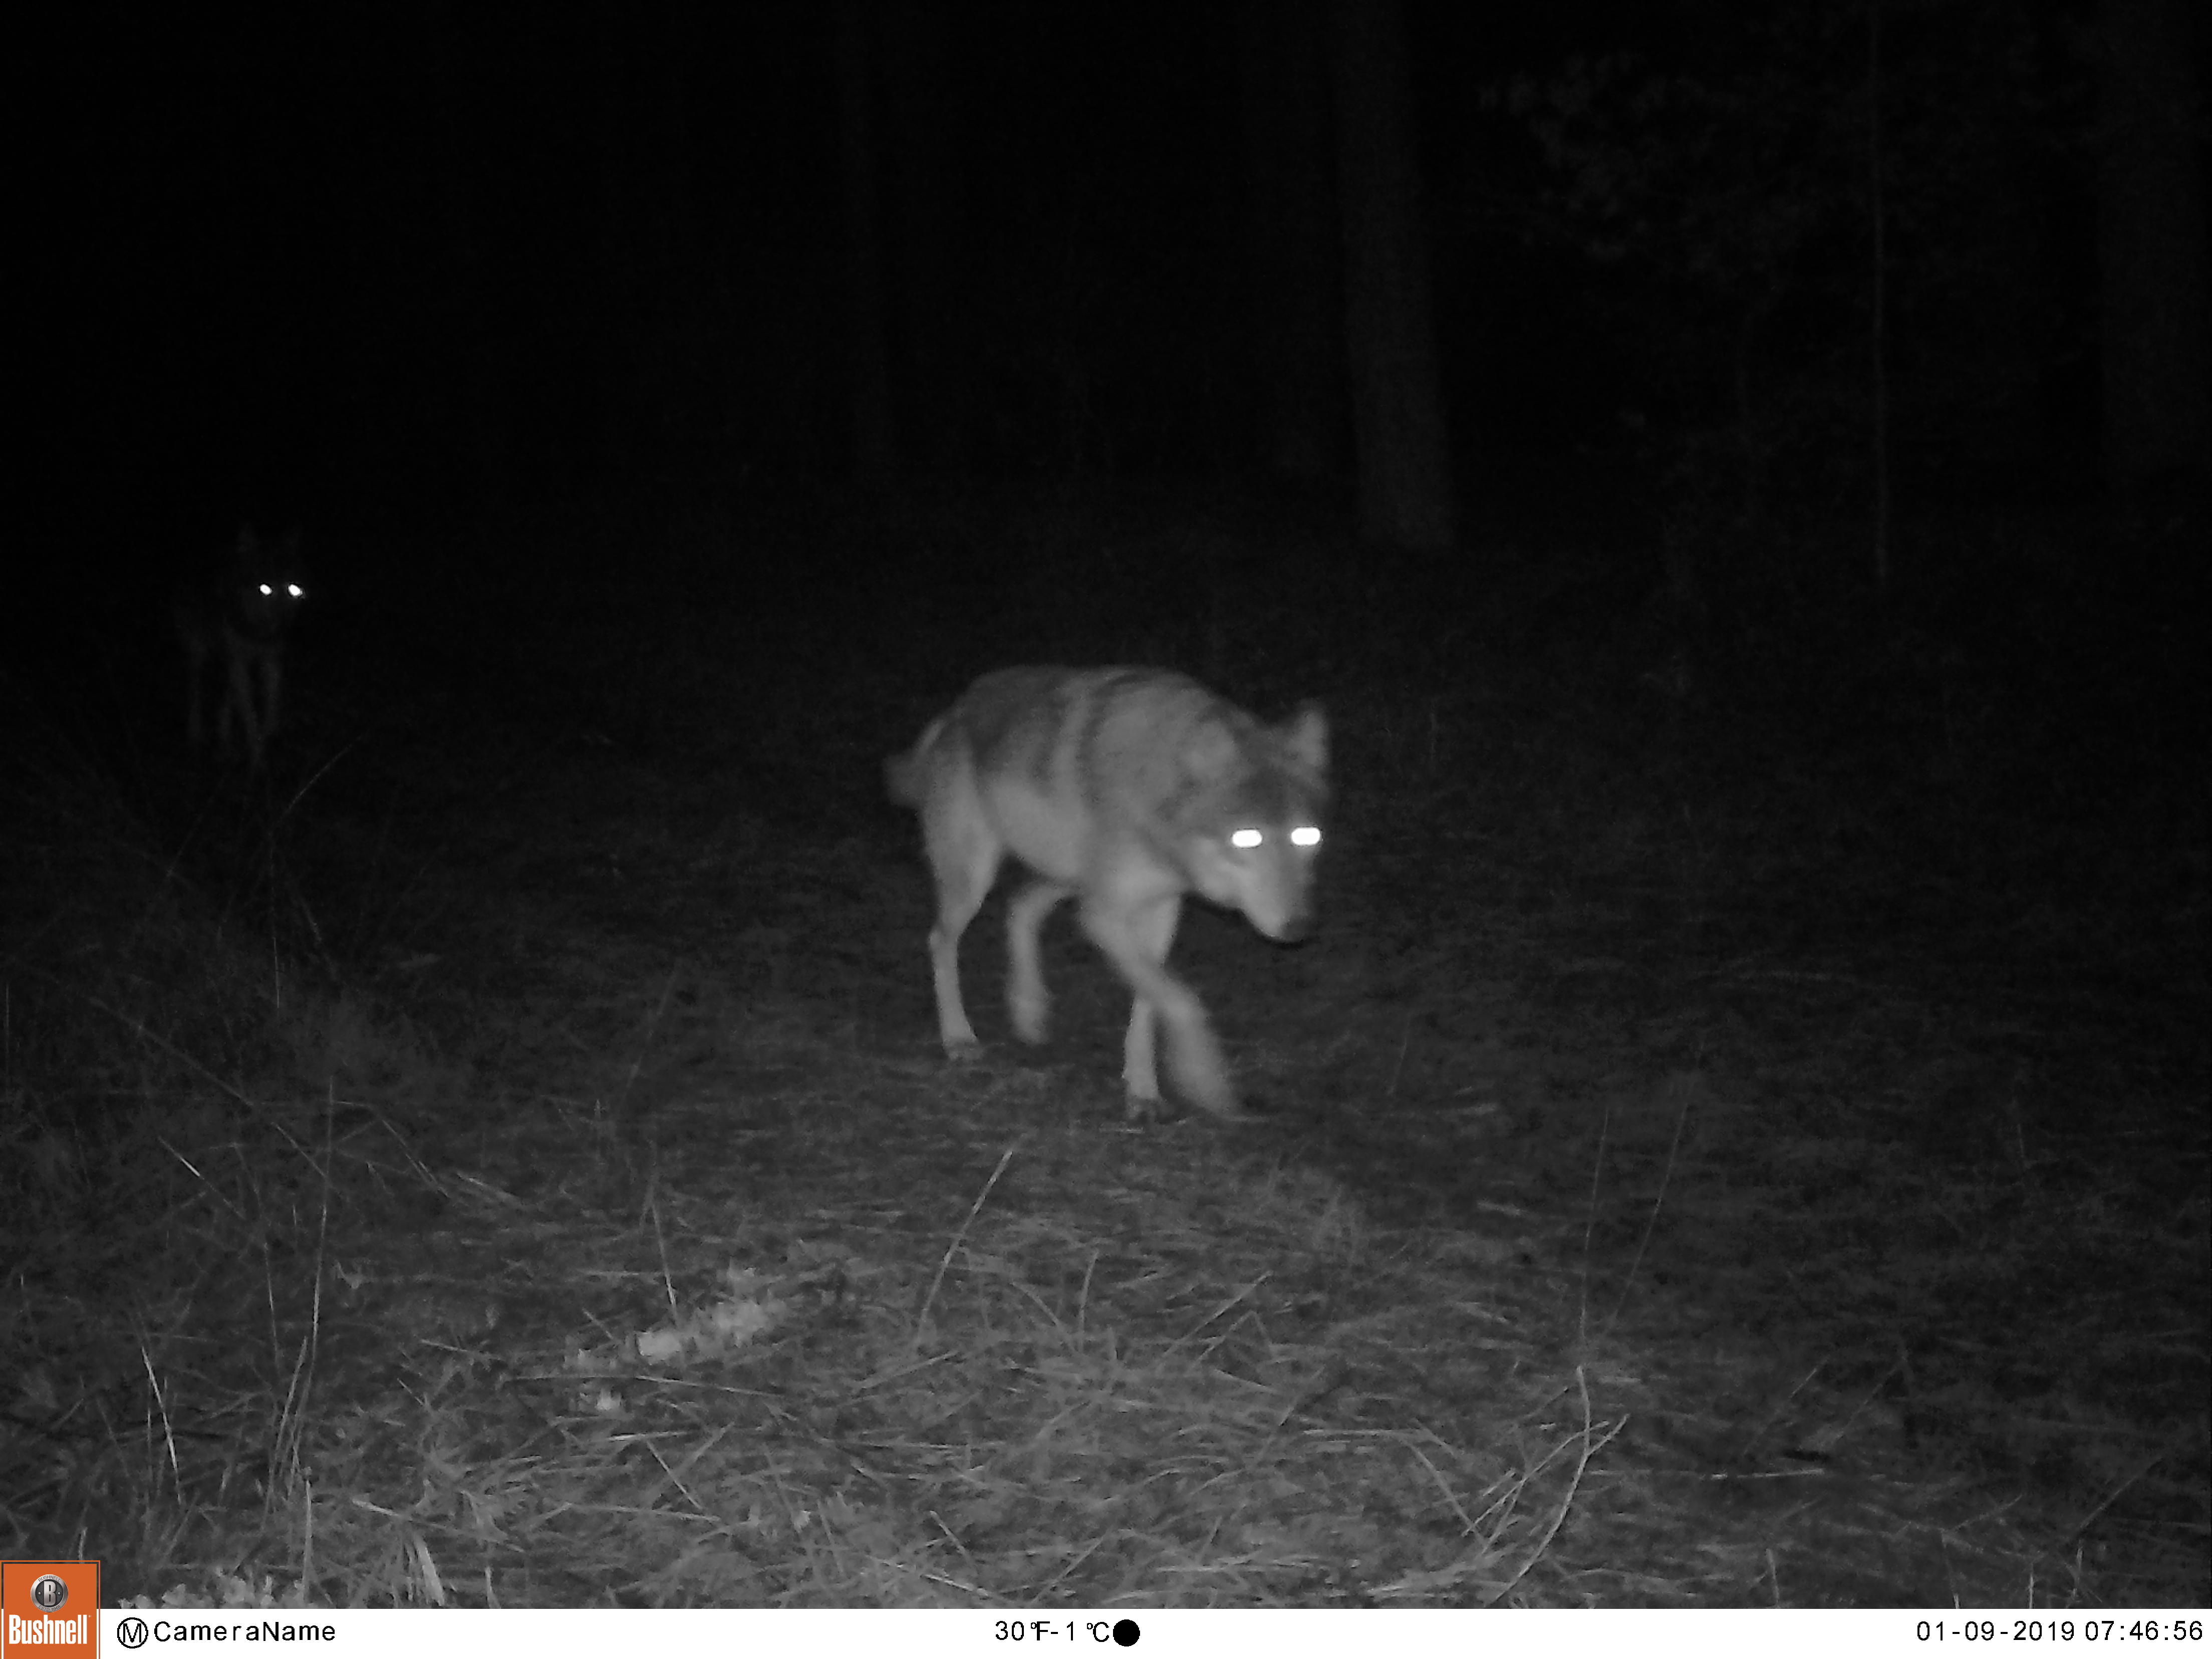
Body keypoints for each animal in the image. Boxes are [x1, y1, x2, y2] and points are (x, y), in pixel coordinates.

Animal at [174, 527, 306, 769]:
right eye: (265, 589)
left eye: (292, 589)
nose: (282, 624)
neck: (257, 630)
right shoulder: (239, 662)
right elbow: (250, 715)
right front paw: (258, 758)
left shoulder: (271, 660)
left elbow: (271, 708)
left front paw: (268, 737)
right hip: (199, 651)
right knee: (196, 687)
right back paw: (196, 734)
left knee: (227, 695)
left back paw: (224, 739)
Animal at [885, 666, 1328, 1122]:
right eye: (1247, 838)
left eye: (1308, 836)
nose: (1301, 927)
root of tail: (955, 710)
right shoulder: (1104, 916)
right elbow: (1183, 1001)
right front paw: (1204, 1079)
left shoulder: (1162, 909)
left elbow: (1151, 1004)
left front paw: (1143, 1090)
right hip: (976, 882)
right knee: (942, 941)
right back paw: (959, 1037)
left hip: (1067, 877)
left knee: (1021, 904)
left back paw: (1029, 1012)